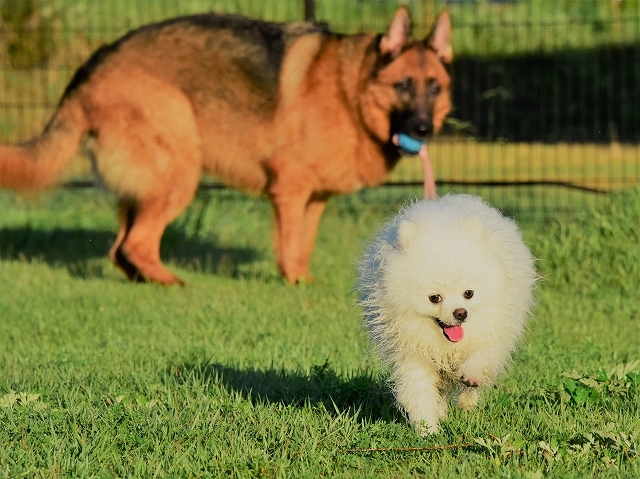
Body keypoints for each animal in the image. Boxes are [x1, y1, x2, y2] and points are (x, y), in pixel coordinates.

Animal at [0, 6, 452, 284]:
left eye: (435, 87)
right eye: (403, 86)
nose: (424, 129)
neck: (351, 89)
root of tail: (90, 69)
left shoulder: (314, 199)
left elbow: (303, 247)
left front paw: (305, 282)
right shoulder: (290, 191)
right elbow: (289, 247)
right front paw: (293, 284)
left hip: (147, 183)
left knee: (120, 249)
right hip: (181, 171)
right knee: (135, 243)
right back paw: (172, 283)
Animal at [358, 194, 536, 436]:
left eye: (469, 293)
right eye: (435, 298)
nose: (460, 313)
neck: (445, 344)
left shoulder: (493, 325)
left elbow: (482, 354)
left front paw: (471, 376)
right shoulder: (411, 350)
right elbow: (419, 391)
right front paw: (428, 431)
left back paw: (468, 399)